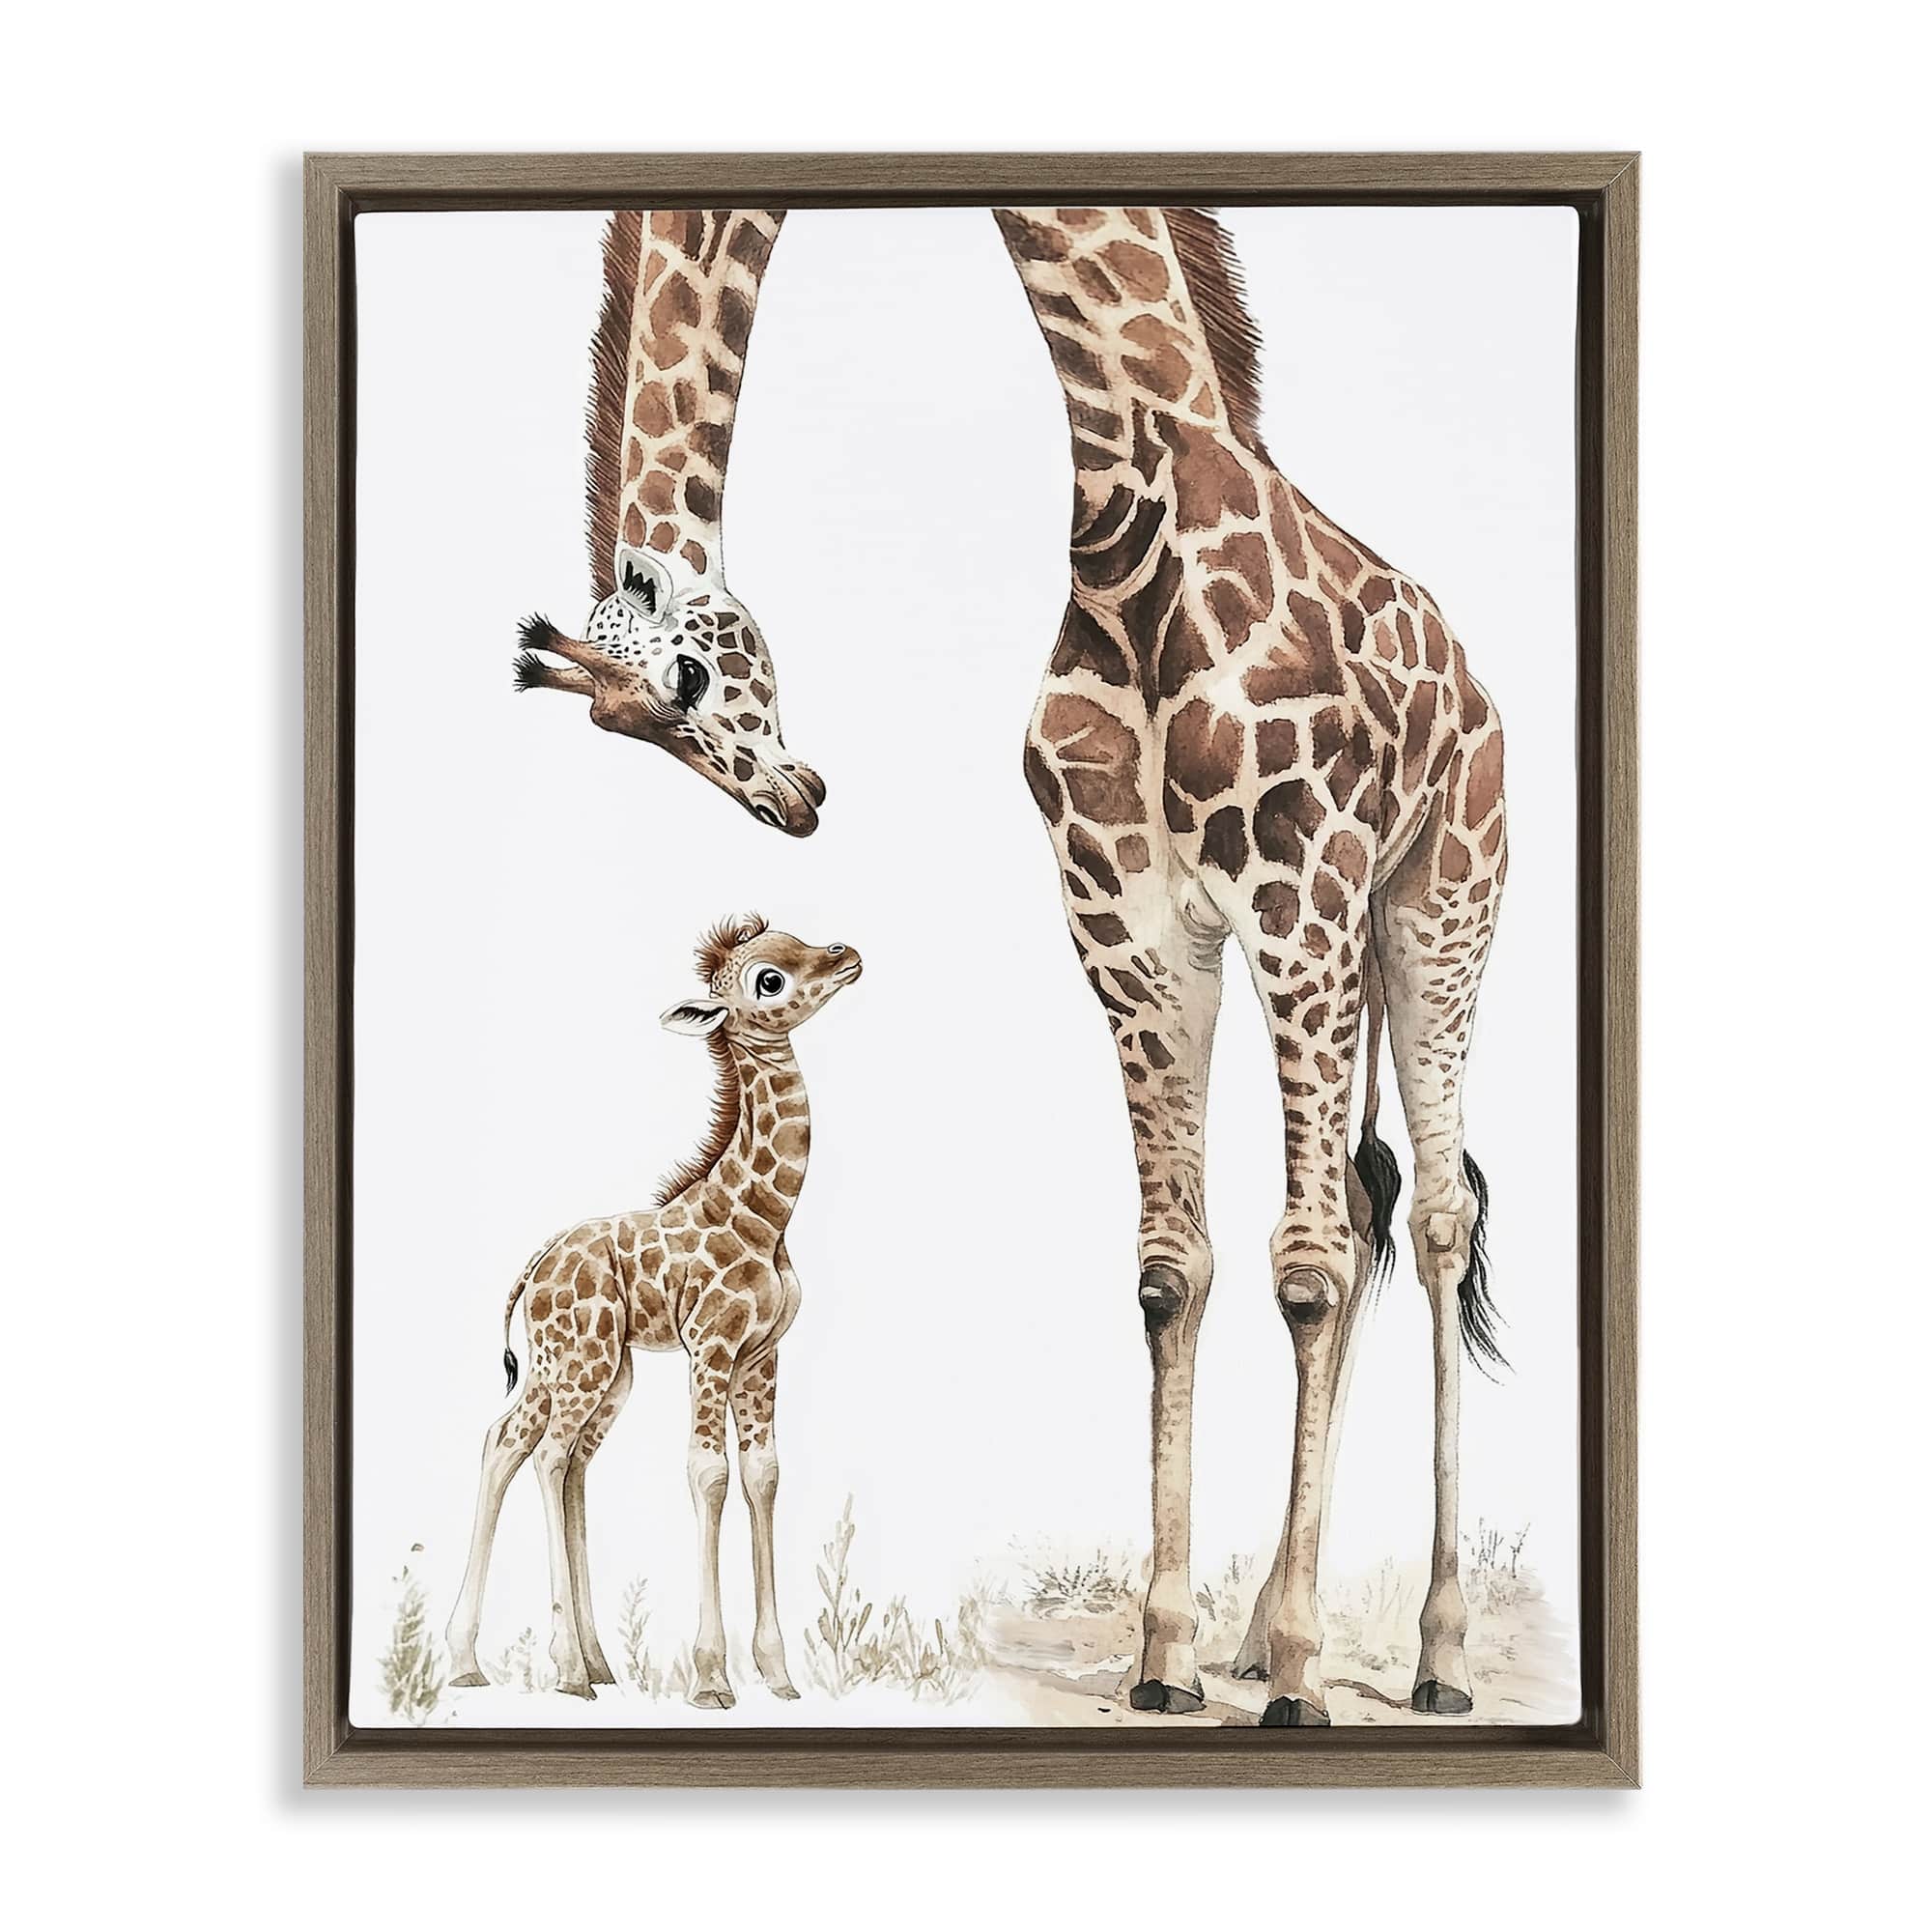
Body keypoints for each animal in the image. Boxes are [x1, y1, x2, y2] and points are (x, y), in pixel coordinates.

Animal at [444, 916, 862, 1705]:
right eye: (769, 979)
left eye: (797, 938)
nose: (848, 955)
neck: (765, 1218)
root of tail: (534, 1265)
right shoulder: (712, 1348)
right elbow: (709, 1474)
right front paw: (711, 1679)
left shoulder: (763, 1356)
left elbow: (763, 1473)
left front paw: (777, 1673)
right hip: (581, 1361)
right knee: (544, 1452)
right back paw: (563, 1669)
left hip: (594, 1369)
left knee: (528, 1448)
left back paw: (528, 1662)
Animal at [994, 207, 1509, 1726]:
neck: (1127, 534)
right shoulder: (1130, 929)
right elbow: (1174, 1270)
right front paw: (1167, 1652)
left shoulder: (1298, 901)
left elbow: (1308, 1269)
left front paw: (1297, 1673)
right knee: (1367, 1195)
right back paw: (1258, 1627)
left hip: (1429, 917)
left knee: (1436, 1213)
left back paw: (1434, 1654)